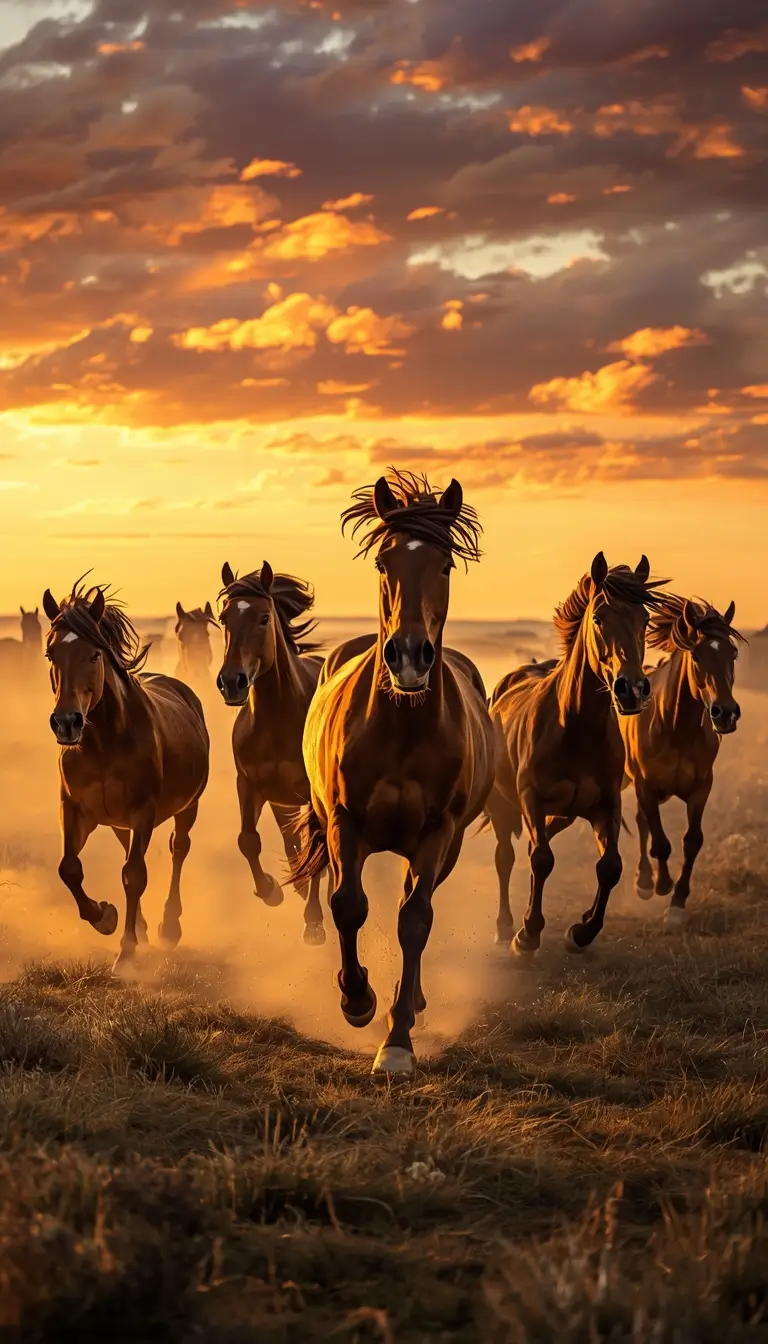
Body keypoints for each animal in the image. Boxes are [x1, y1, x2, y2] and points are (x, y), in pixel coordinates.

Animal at [42, 580, 210, 973]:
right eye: (50, 654)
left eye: (94, 655)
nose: (66, 722)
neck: (104, 743)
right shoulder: (73, 808)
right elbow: (69, 869)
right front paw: (105, 917)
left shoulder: (143, 810)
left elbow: (134, 876)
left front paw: (127, 951)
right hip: (119, 822)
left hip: (188, 806)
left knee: (178, 850)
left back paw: (168, 927)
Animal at [216, 561, 328, 939]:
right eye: (223, 618)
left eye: (264, 617)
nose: (231, 681)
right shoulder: (249, 784)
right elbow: (248, 840)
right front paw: (270, 890)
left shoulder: (311, 793)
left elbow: (316, 847)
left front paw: (314, 922)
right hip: (282, 802)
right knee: (290, 840)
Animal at [290, 469, 495, 1076]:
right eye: (384, 563)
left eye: (445, 564)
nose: (408, 655)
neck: (401, 726)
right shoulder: (344, 822)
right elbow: (347, 905)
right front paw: (357, 999)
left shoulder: (437, 833)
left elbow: (415, 920)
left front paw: (397, 1039)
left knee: (414, 905)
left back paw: (416, 1000)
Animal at [486, 553, 665, 957]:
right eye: (599, 617)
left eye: (645, 619)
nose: (632, 689)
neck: (575, 726)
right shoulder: (531, 799)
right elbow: (541, 859)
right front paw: (527, 935)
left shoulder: (606, 804)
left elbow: (610, 866)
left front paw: (582, 931)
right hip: (501, 806)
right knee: (506, 857)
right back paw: (505, 927)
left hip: (564, 814)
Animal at [620, 594, 743, 926]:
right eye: (697, 656)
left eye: (734, 653)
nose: (726, 713)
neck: (677, 728)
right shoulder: (646, 785)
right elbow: (660, 841)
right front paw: (662, 885)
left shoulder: (701, 788)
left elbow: (692, 841)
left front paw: (677, 902)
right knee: (643, 823)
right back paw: (644, 882)